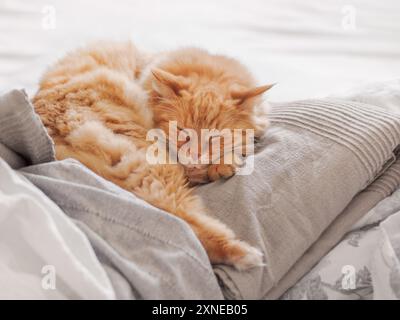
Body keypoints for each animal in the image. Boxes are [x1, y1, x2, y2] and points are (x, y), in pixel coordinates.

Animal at [33, 40, 272, 270]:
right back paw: (243, 253)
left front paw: (224, 163)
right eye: (181, 131)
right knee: (183, 218)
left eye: (214, 137)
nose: (194, 155)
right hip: (155, 168)